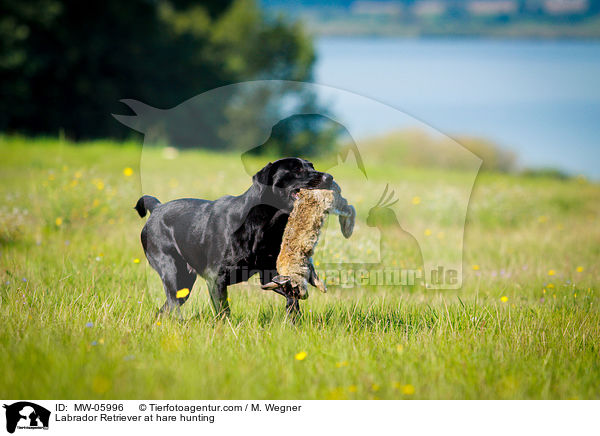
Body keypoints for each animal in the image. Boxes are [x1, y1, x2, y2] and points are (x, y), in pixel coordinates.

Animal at [134, 158, 354, 316]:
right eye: (297, 169)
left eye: (312, 166)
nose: (330, 177)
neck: (262, 225)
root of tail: (157, 207)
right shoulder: (216, 278)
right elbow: (223, 311)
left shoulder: (268, 274)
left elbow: (291, 296)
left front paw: (294, 321)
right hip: (172, 273)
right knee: (171, 305)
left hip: (184, 284)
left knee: (164, 310)